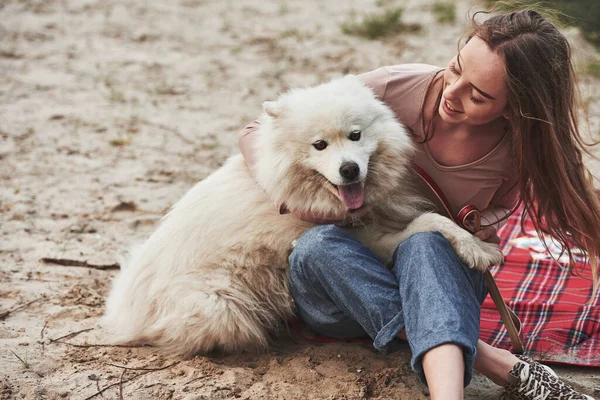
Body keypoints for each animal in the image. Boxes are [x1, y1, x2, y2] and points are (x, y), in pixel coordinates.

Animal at [103, 76, 502, 356]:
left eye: (355, 135)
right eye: (319, 145)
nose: (349, 170)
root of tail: (123, 311)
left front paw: (479, 244)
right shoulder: (372, 241)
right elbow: (431, 223)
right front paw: (479, 249)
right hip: (219, 305)